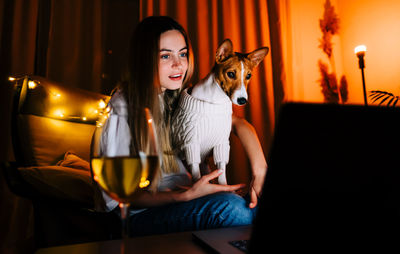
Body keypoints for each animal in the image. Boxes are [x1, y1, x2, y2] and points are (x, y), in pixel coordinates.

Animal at [170, 38, 268, 185]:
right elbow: (197, 176)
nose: (242, 100)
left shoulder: (221, 145)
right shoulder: (191, 145)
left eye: (249, 75)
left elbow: (222, 175)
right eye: (231, 74)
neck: (215, 100)